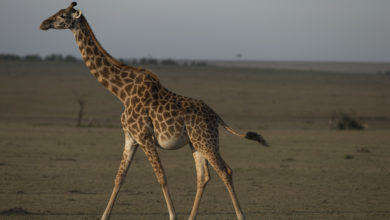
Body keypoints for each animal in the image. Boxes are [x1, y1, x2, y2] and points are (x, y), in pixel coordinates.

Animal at [41, 2, 270, 220]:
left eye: (62, 15)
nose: (43, 23)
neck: (121, 92)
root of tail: (216, 116)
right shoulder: (130, 138)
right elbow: (120, 177)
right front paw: (104, 215)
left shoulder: (145, 137)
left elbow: (161, 176)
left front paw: (173, 215)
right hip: (196, 143)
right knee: (204, 176)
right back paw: (192, 216)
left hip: (206, 140)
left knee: (225, 170)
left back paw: (240, 215)